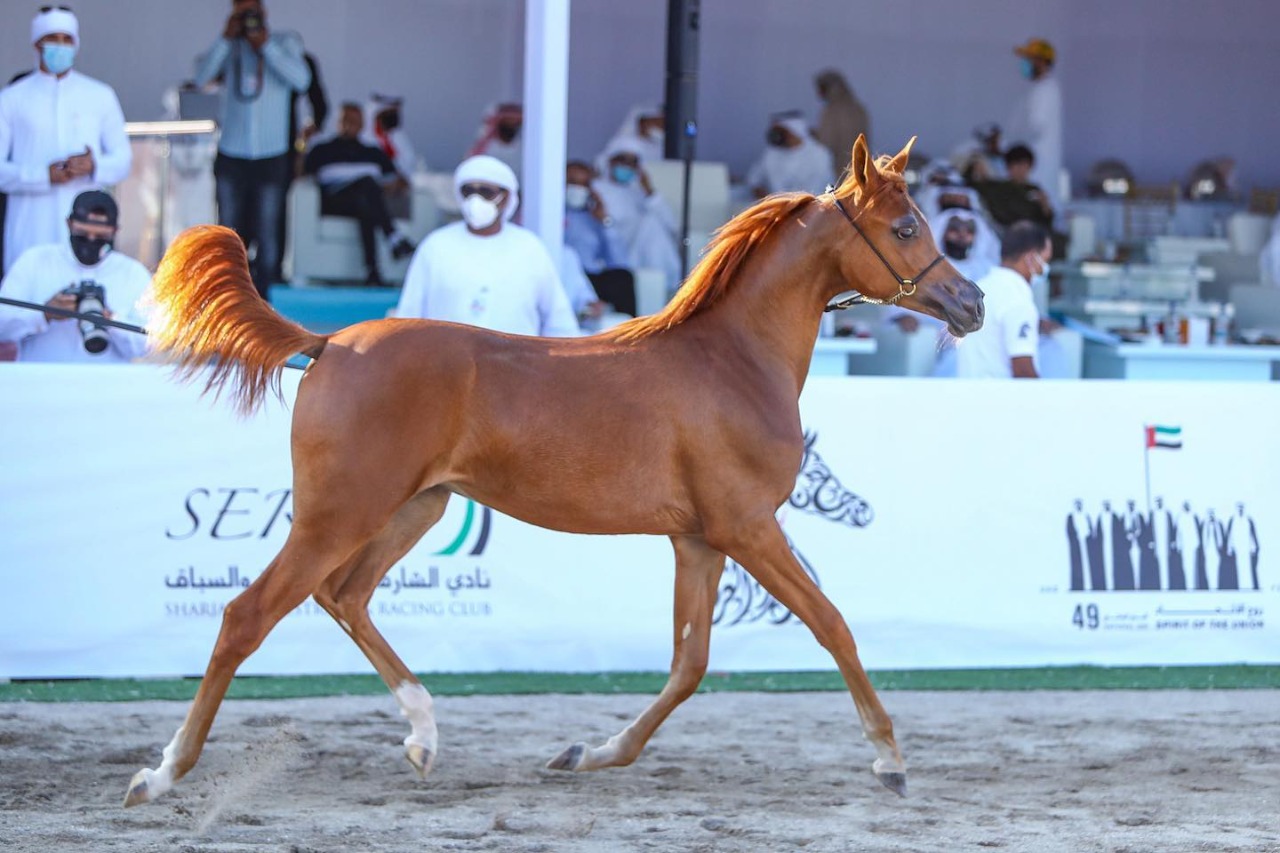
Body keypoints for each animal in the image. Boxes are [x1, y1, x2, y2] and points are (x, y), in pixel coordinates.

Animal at [124, 134, 977, 804]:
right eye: (905, 225)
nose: (970, 302)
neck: (732, 360)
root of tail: (330, 343)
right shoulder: (749, 527)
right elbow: (832, 624)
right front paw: (890, 758)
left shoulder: (699, 539)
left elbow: (689, 663)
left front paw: (588, 753)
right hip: (340, 513)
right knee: (249, 614)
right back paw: (163, 773)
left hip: (417, 508)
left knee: (346, 596)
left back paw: (424, 735)